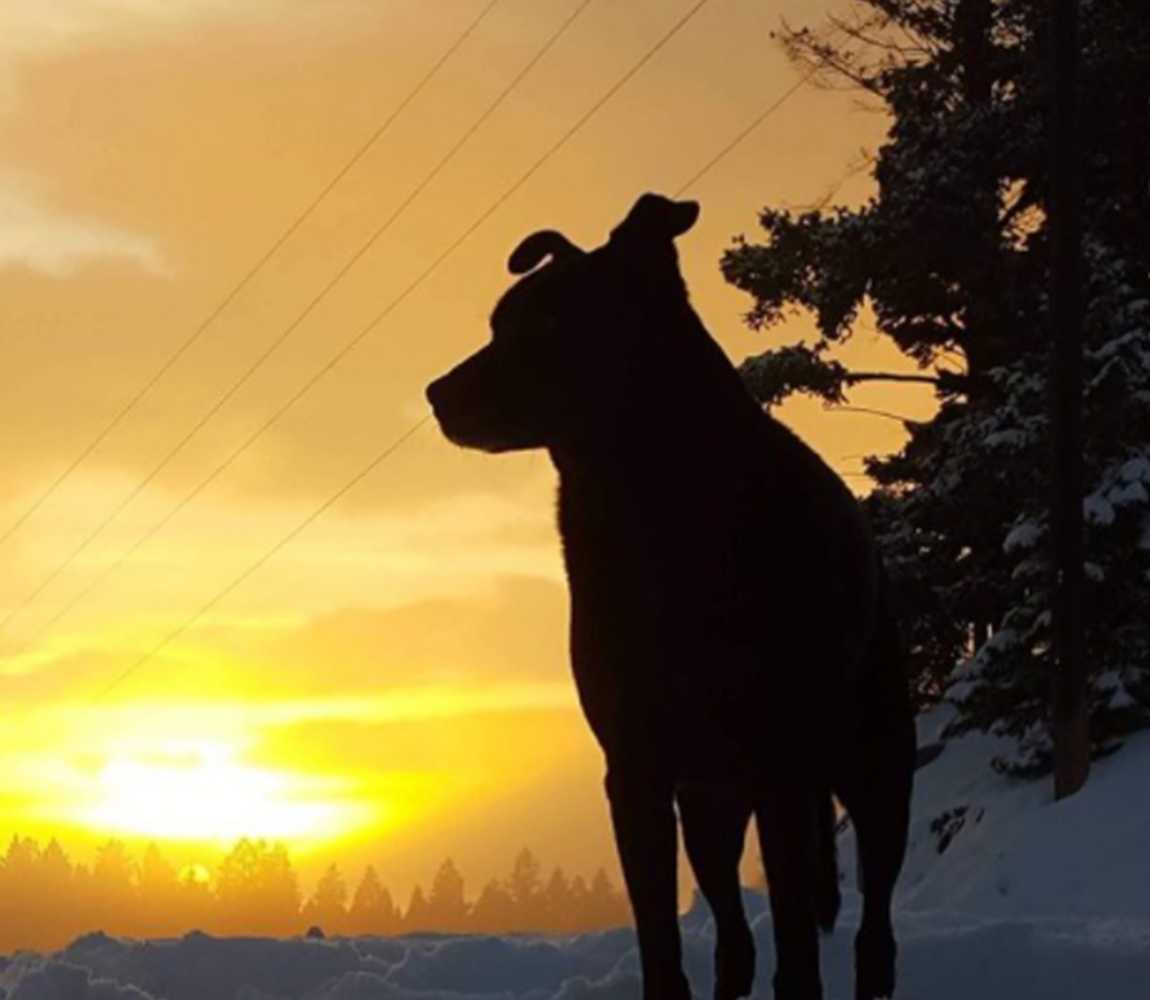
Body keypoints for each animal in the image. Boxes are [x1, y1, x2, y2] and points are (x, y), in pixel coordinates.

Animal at [427, 195, 910, 1000]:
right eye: (499, 321)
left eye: (542, 325)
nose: (434, 394)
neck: (659, 510)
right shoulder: (636, 767)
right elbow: (661, 941)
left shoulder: (779, 761)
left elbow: (797, 953)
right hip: (712, 802)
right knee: (736, 943)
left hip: (871, 767)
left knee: (874, 928)